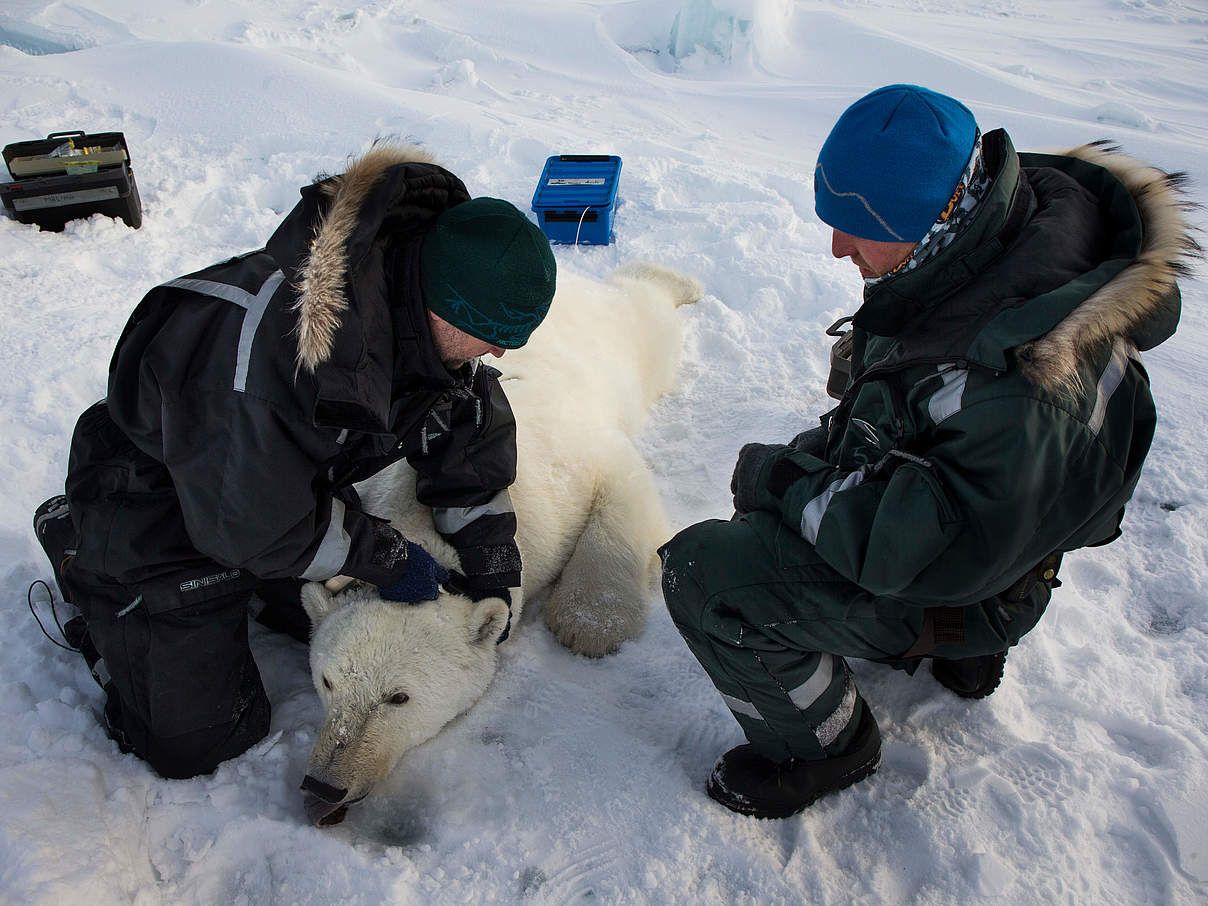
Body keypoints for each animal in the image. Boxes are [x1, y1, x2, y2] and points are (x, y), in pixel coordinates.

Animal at [295, 264, 705, 831]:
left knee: (648, 319)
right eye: (328, 681)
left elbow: (622, 490)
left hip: (626, 343)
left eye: (398, 697)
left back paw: (679, 283)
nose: (324, 786)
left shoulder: (572, 465)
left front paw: (590, 625)